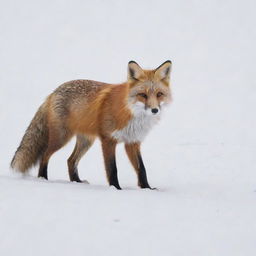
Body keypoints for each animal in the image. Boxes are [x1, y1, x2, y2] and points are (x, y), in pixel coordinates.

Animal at [11, 61, 173, 189]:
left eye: (159, 94)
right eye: (143, 95)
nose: (154, 110)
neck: (131, 113)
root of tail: (52, 92)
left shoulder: (132, 142)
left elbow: (142, 169)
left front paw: (147, 188)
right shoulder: (108, 140)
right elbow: (112, 168)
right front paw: (116, 188)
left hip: (86, 141)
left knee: (70, 160)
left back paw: (76, 181)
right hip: (62, 138)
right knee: (45, 155)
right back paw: (43, 179)